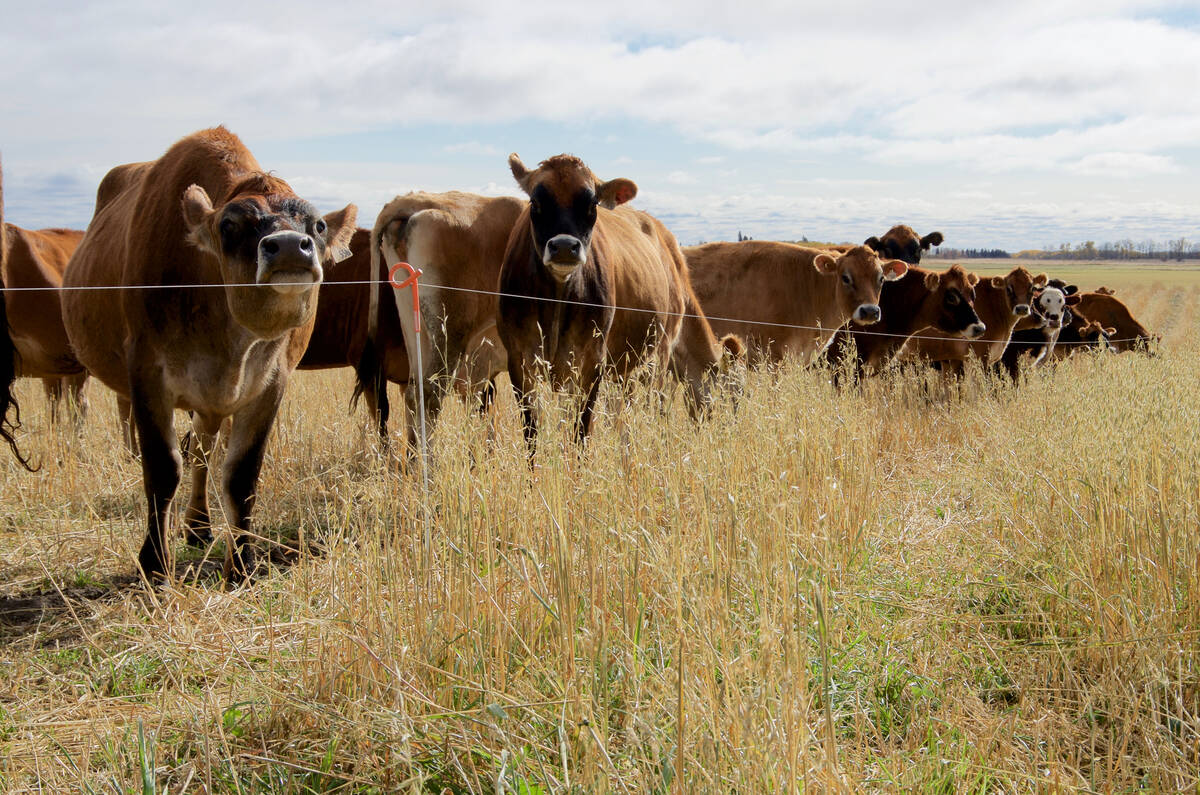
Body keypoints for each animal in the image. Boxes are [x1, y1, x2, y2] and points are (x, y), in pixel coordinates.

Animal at [61, 127, 356, 582]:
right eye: (229, 224)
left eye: (319, 224)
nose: (291, 246)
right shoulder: (147, 374)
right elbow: (162, 469)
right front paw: (154, 563)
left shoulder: (270, 383)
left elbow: (241, 474)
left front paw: (242, 563)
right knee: (191, 451)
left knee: (200, 449)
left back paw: (199, 527)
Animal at [497, 153, 742, 455]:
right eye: (535, 202)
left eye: (592, 204)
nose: (564, 246)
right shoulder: (520, 360)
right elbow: (534, 435)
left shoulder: (599, 361)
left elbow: (589, 428)